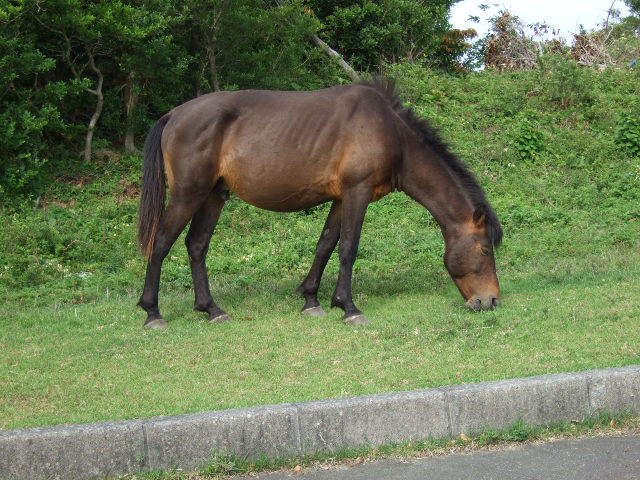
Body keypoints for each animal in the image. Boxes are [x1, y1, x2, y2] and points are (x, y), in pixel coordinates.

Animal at [138, 80, 502, 332]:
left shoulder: (341, 198)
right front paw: (349, 307)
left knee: (196, 246)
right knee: (161, 243)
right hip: (189, 194)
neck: (390, 133)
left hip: (213, 195)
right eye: (485, 250)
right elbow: (348, 248)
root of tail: (174, 114)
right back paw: (153, 313)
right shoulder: (357, 192)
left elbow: (325, 245)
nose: (492, 300)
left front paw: (311, 299)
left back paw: (211, 309)